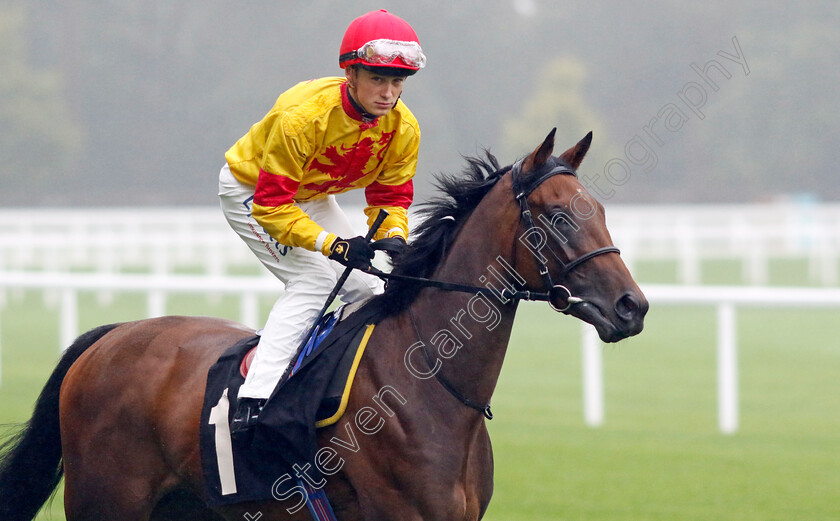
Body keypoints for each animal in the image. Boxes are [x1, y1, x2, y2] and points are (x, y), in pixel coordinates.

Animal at [0, 128, 648, 516]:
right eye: (558, 217)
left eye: (599, 210)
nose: (632, 306)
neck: (432, 385)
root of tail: (108, 336)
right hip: (106, 499)